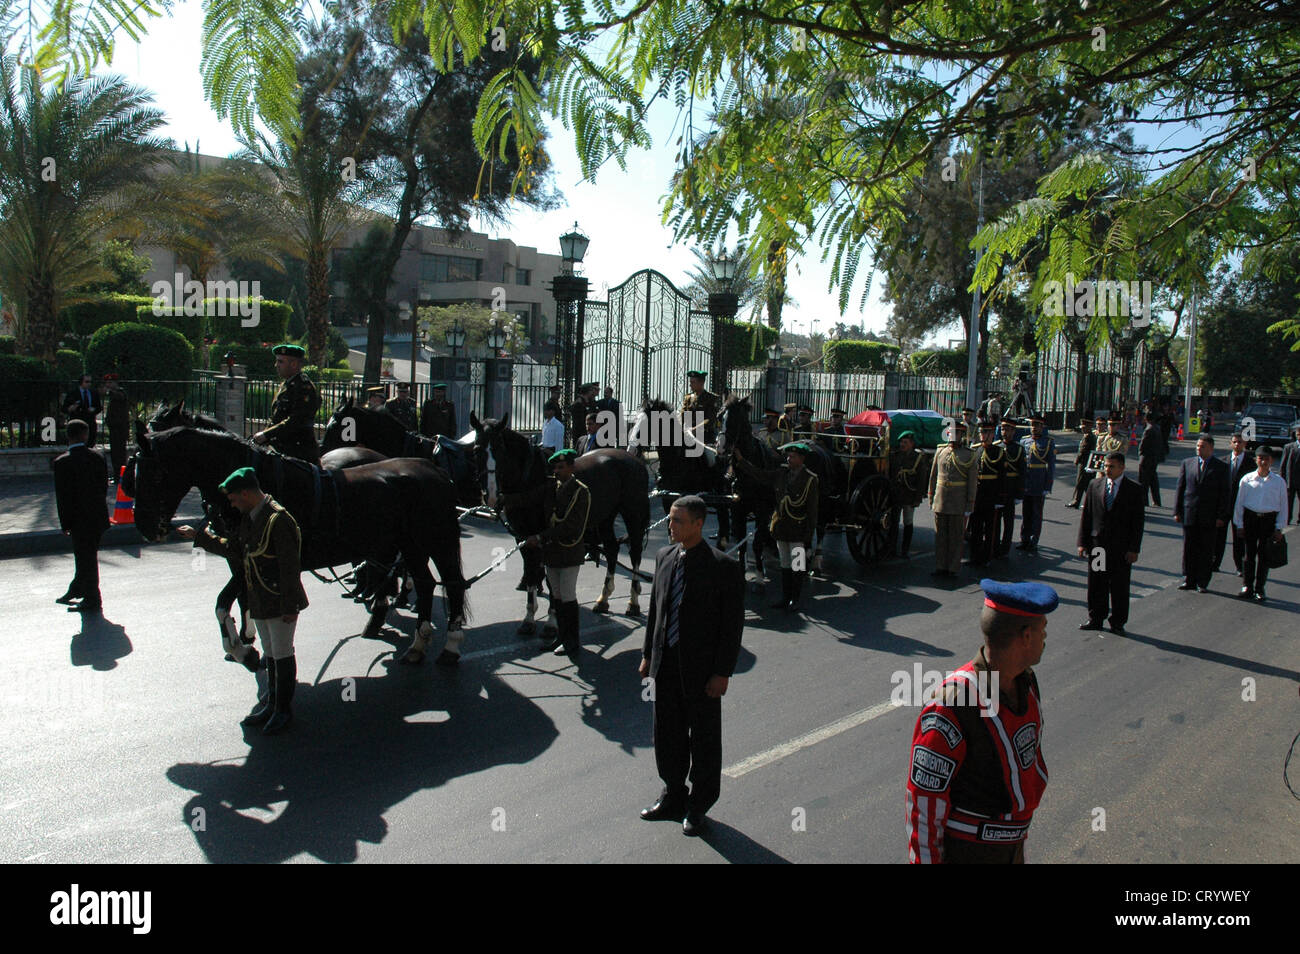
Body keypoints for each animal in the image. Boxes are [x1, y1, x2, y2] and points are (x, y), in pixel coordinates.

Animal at [470, 410, 647, 634]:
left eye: (500, 450)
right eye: (477, 450)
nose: (491, 495)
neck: (531, 481)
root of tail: (633, 459)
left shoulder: (549, 537)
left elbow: (551, 578)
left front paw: (552, 621)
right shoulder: (523, 538)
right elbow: (531, 573)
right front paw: (529, 618)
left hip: (633, 514)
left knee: (635, 553)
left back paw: (633, 603)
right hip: (606, 517)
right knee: (612, 548)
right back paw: (603, 599)